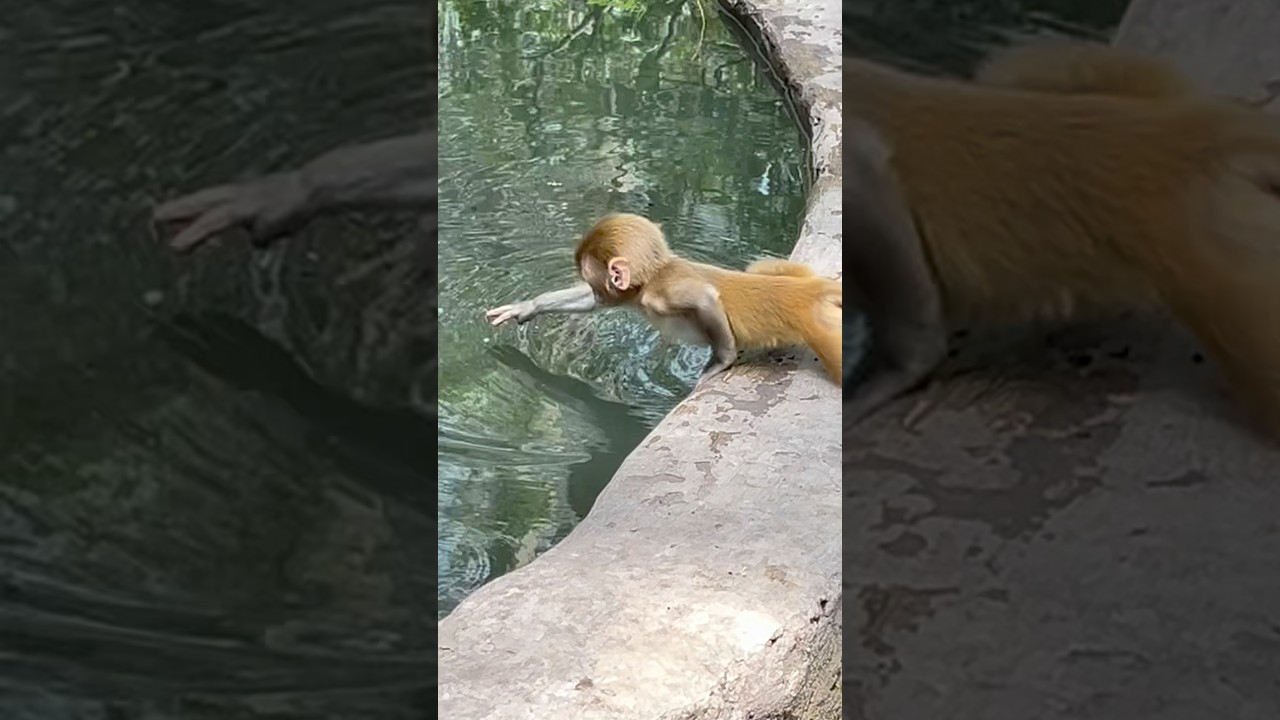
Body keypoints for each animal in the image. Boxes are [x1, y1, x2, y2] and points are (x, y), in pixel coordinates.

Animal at [485, 213, 843, 387]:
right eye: (593, 284)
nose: (599, 289)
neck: (650, 280)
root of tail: (814, 289)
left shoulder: (664, 293)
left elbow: (706, 298)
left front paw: (721, 362)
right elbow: (592, 305)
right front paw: (527, 307)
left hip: (820, 325)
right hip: (792, 273)